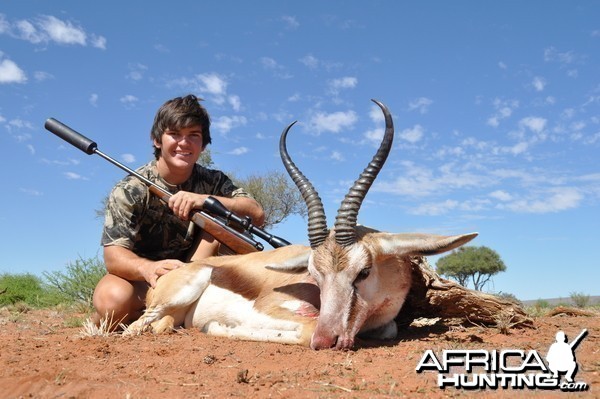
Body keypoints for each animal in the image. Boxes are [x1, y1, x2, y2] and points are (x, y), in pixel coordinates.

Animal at [124, 101, 476, 352]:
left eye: (363, 272)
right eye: (314, 276)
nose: (327, 340)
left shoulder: (383, 324)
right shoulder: (274, 309)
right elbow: (304, 329)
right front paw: (216, 327)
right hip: (174, 296)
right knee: (134, 328)